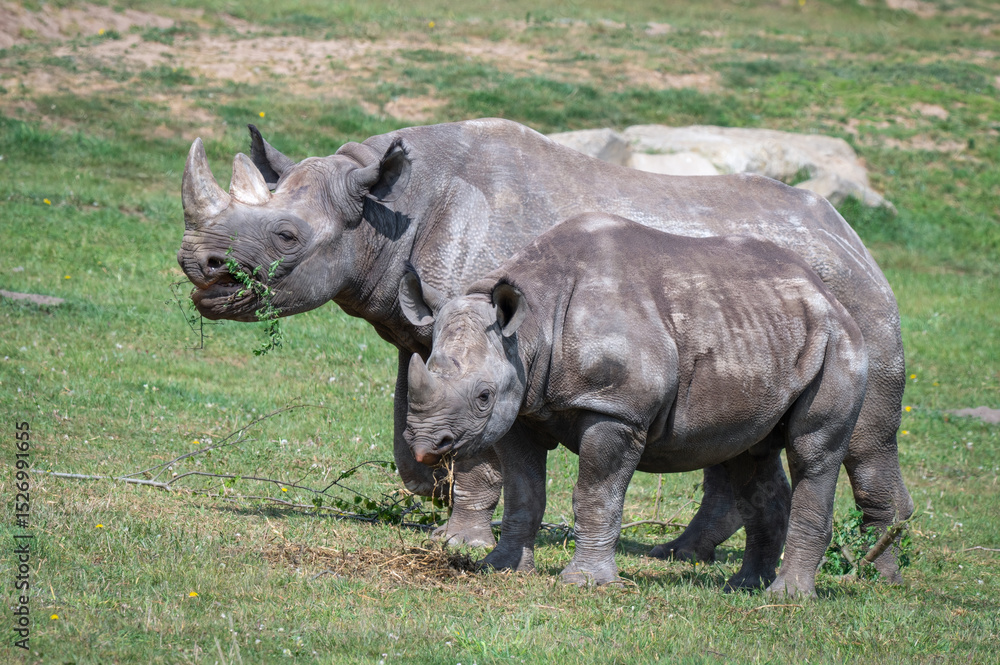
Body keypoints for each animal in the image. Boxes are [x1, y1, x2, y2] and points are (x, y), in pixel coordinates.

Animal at [400, 213, 869, 597]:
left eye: (482, 396)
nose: (425, 445)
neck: (532, 326)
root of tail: (830, 296)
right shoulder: (521, 410)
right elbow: (524, 490)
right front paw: (501, 568)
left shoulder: (615, 410)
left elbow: (596, 494)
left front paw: (586, 583)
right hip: (761, 331)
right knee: (748, 453)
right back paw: (745, 586)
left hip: (839, 344)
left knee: (813, 453)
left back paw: (787, 597)